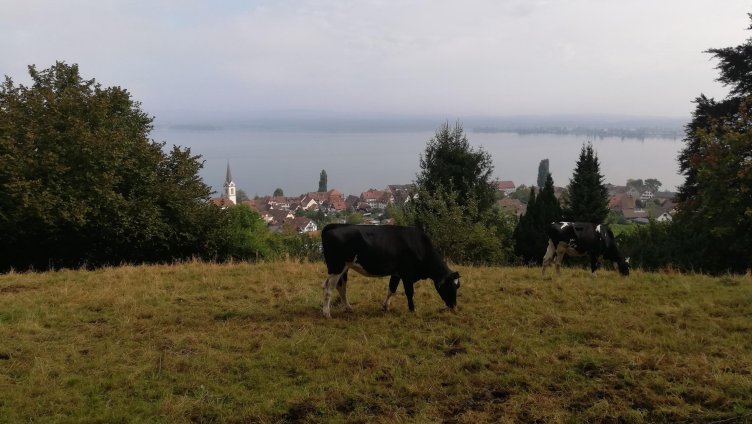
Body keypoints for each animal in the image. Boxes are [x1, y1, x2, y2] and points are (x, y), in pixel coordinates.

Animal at [320, 225, 462, 318]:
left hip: (344, 268)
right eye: (450, 287)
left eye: (457, 286)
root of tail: (333, 226)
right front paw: (412, 310)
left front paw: (386, 306)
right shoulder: (407, 274)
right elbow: (409, 292)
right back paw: (326, 313)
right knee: (328, 289)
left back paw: (348, 308)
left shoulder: (396, 273)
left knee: (340, 287)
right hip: (336, 268)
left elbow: (391, 289)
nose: (455, 307)